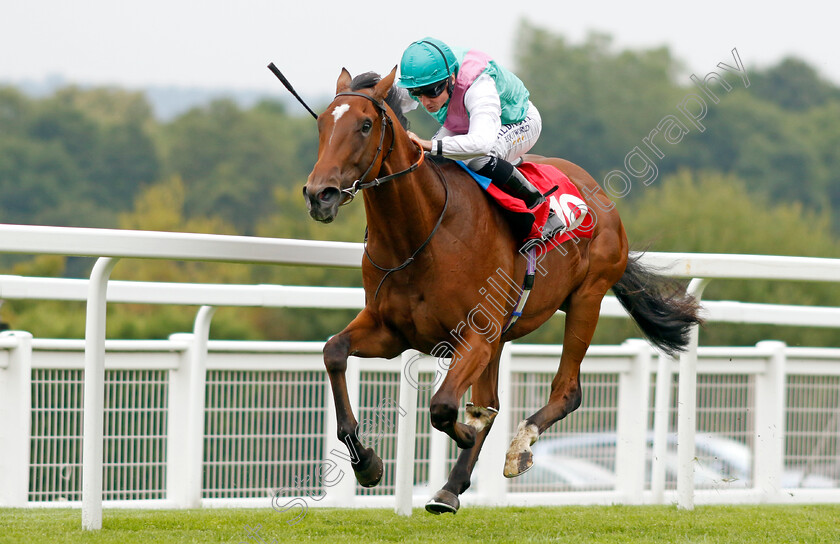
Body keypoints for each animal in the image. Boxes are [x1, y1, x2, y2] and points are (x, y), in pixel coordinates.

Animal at [302, 66, 704, 512]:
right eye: (321, 124)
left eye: (365, 125)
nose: (319, 194)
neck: (419, 236)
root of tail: (596, 191)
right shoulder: (392, 332)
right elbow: (334, 351)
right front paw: (367, 464)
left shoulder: (475, 336)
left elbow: (445, 407)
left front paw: (466, 433)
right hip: (502, 337)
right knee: (490, 400)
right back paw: (450, 488)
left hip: (587, 297)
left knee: (566, 392)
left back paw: (517, 448)